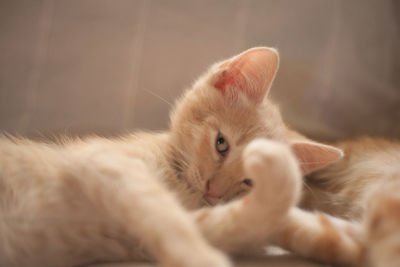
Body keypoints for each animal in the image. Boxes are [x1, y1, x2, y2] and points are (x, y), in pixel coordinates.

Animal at [0, 48, 362, 267]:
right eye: (221, 144)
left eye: (247, 182)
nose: (214, 191)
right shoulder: (101, 159)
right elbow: (162, 213)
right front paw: (199, 256)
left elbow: (245, 220)